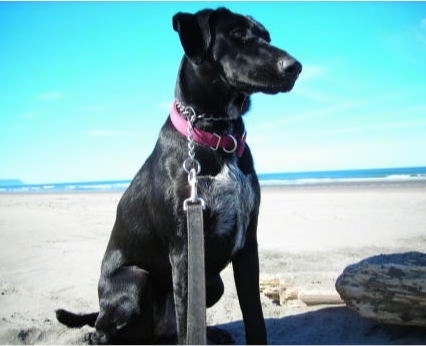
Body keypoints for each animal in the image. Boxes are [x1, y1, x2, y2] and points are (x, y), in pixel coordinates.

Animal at [56, 6, 302, 344]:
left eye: (266, 36)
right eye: (238, 34)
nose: (295, 67)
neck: (217, 136)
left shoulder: (248, 246)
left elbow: (255, 317)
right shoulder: (184, 252)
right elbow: (188, 322)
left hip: (213, 283)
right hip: (137, 280)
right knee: (105, 331)